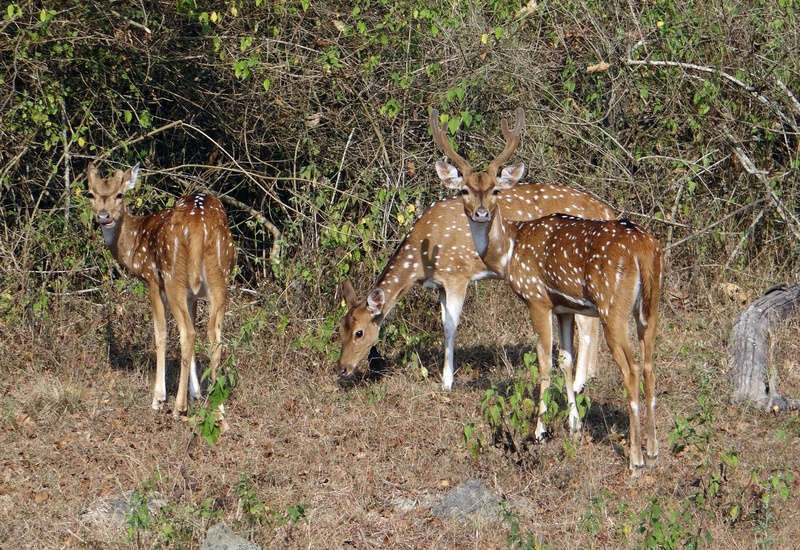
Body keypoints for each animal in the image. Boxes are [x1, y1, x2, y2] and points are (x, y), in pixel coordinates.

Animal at [86, 162, 237, 432]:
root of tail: (198, 226)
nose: (103, 216)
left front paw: (159, 397)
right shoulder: (192, 295)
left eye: (119, 194)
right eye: (90, 194)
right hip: (220, 276)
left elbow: (160, 334)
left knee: (187, 333)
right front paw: (196, 392)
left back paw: (178, 408)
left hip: (172, 274)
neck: (133, 247)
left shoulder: (152, 280)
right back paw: (219, 413)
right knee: (213, 336)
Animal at [338, 166, 615, 392]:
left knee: (586, 324)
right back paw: (590, 376)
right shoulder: (441, 285)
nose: (341, 368)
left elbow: (450, 327)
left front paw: (447, 382)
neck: (421, 259)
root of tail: (606, 210)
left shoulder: (457, 274)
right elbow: (444, 322)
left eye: (359, 333)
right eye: (341, 329)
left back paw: (579, 383)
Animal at [430, 108, 663, 472]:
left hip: (613, 306)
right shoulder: (564, 306)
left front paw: (538, 431)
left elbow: (543, 361)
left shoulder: (537, 298)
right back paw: (653, 450)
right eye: (465, 190)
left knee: (632, 369)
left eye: (495, 190)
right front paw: (574, 425)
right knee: (650, 364)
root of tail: (643, 247)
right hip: (650, 306)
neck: (509, 251)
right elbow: (566, 359)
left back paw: (635, 459)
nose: (480, 213)